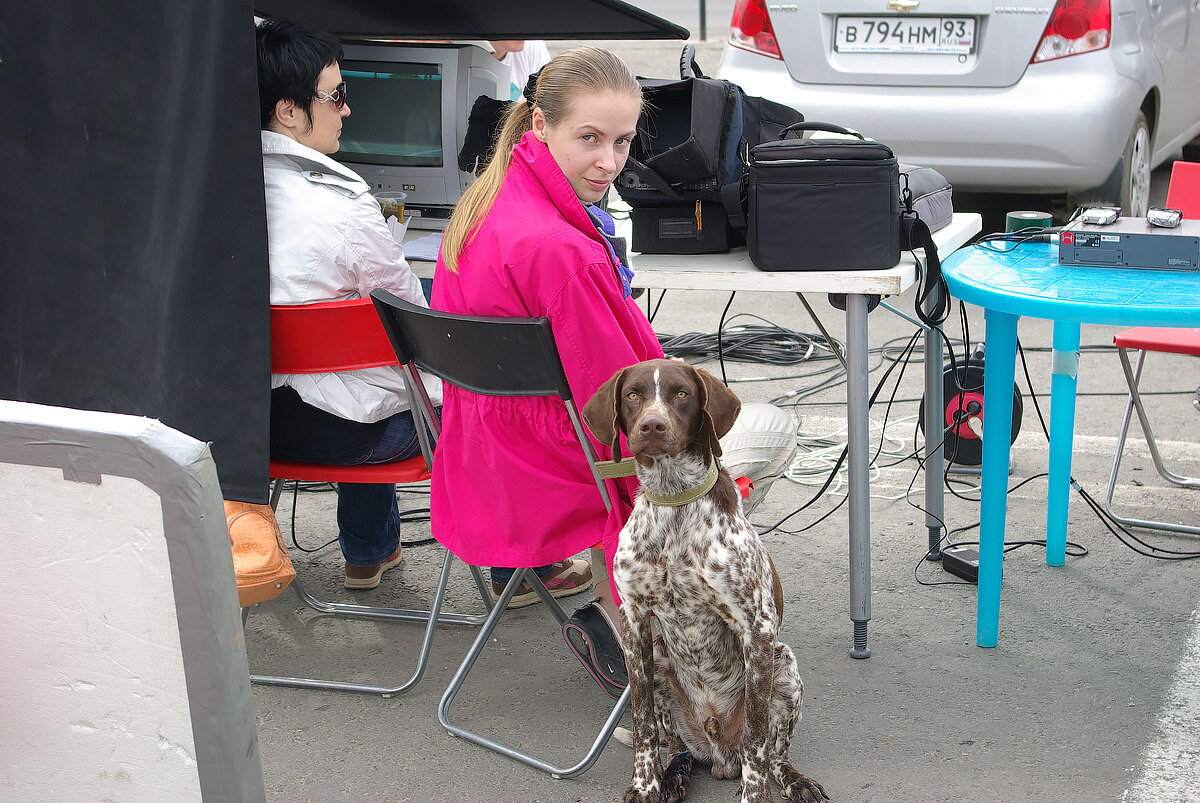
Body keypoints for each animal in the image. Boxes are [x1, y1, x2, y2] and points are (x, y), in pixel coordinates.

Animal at [580, 360, 825, 796]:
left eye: (681, 394)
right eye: (633, 395)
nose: (653, 426)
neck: (674, 500)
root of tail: (718, 754)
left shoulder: (756, 628)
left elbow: (757, 739)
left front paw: (756, 796)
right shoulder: (634, 623)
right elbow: (642, 725)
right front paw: (644, 785)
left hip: (784, 669)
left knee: (773, 754)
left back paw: (793, 781)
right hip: (661, 666)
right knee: (676, 747)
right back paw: (672, 776)